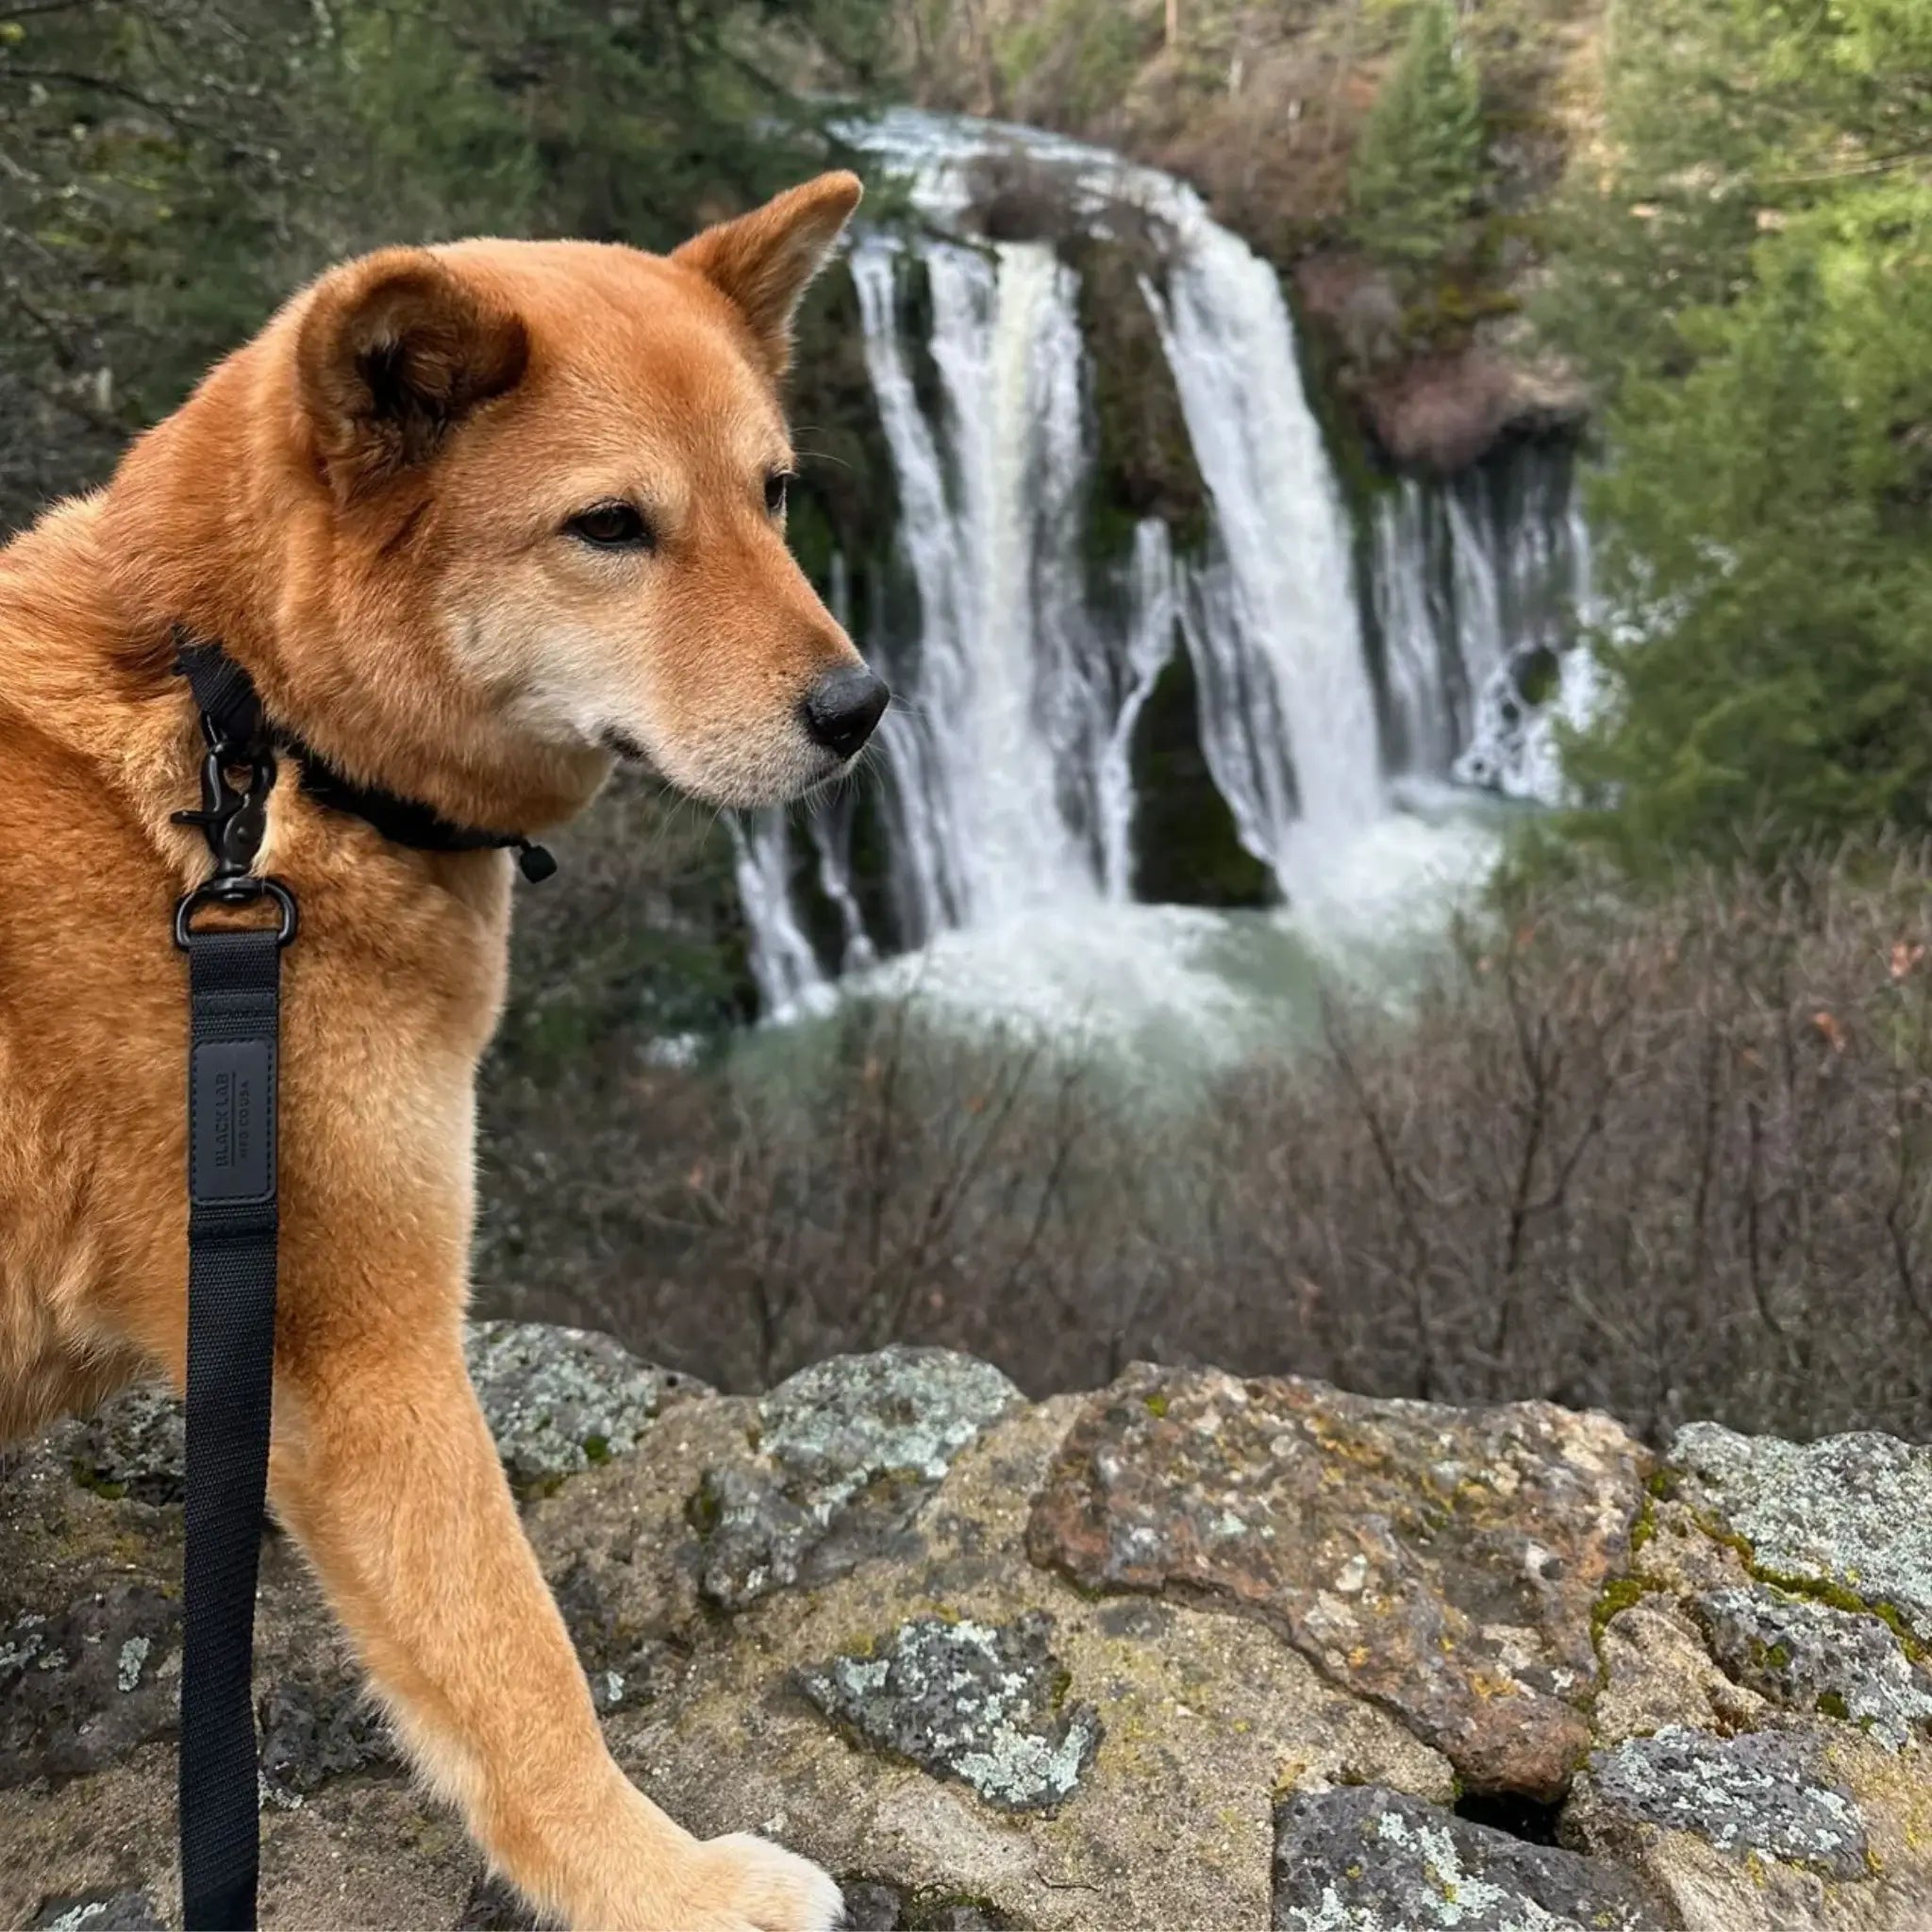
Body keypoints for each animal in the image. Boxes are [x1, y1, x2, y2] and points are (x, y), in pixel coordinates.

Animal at [0, 174, 884, 1924]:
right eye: (609, 527)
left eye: (770, 494)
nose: (862, 705)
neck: (253, 748)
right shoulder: (358, 1349)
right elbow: (516, 1665)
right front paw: (660, 1882)